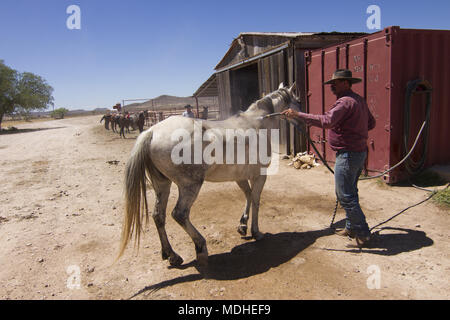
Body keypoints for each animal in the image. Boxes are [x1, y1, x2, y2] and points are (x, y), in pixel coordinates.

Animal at [118, 82, 300, 268]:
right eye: (298, 101)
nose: (300, 119)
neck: (257, 123)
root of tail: (152, 132)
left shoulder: (240, 176)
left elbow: (248, 196)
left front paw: (242, 225)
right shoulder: (259, 175)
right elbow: (256, 200)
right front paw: (256, 232)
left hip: (162, 185)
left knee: (158, 216)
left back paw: (172, 255)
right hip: (190, 185)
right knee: (179, 214)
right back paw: (200, 247)